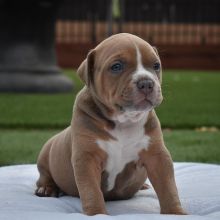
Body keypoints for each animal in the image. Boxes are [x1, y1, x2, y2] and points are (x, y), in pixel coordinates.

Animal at [35, 32, 186, 215]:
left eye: (156, 65)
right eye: (116, 66)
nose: (147, 83)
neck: (123, 121)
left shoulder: (157, 156)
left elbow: (168, 187)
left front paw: (176, 213)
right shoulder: (87, 158)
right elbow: (91, 191)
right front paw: (97, 213)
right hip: (45, 155)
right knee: (44, 176)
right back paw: (46, 189)